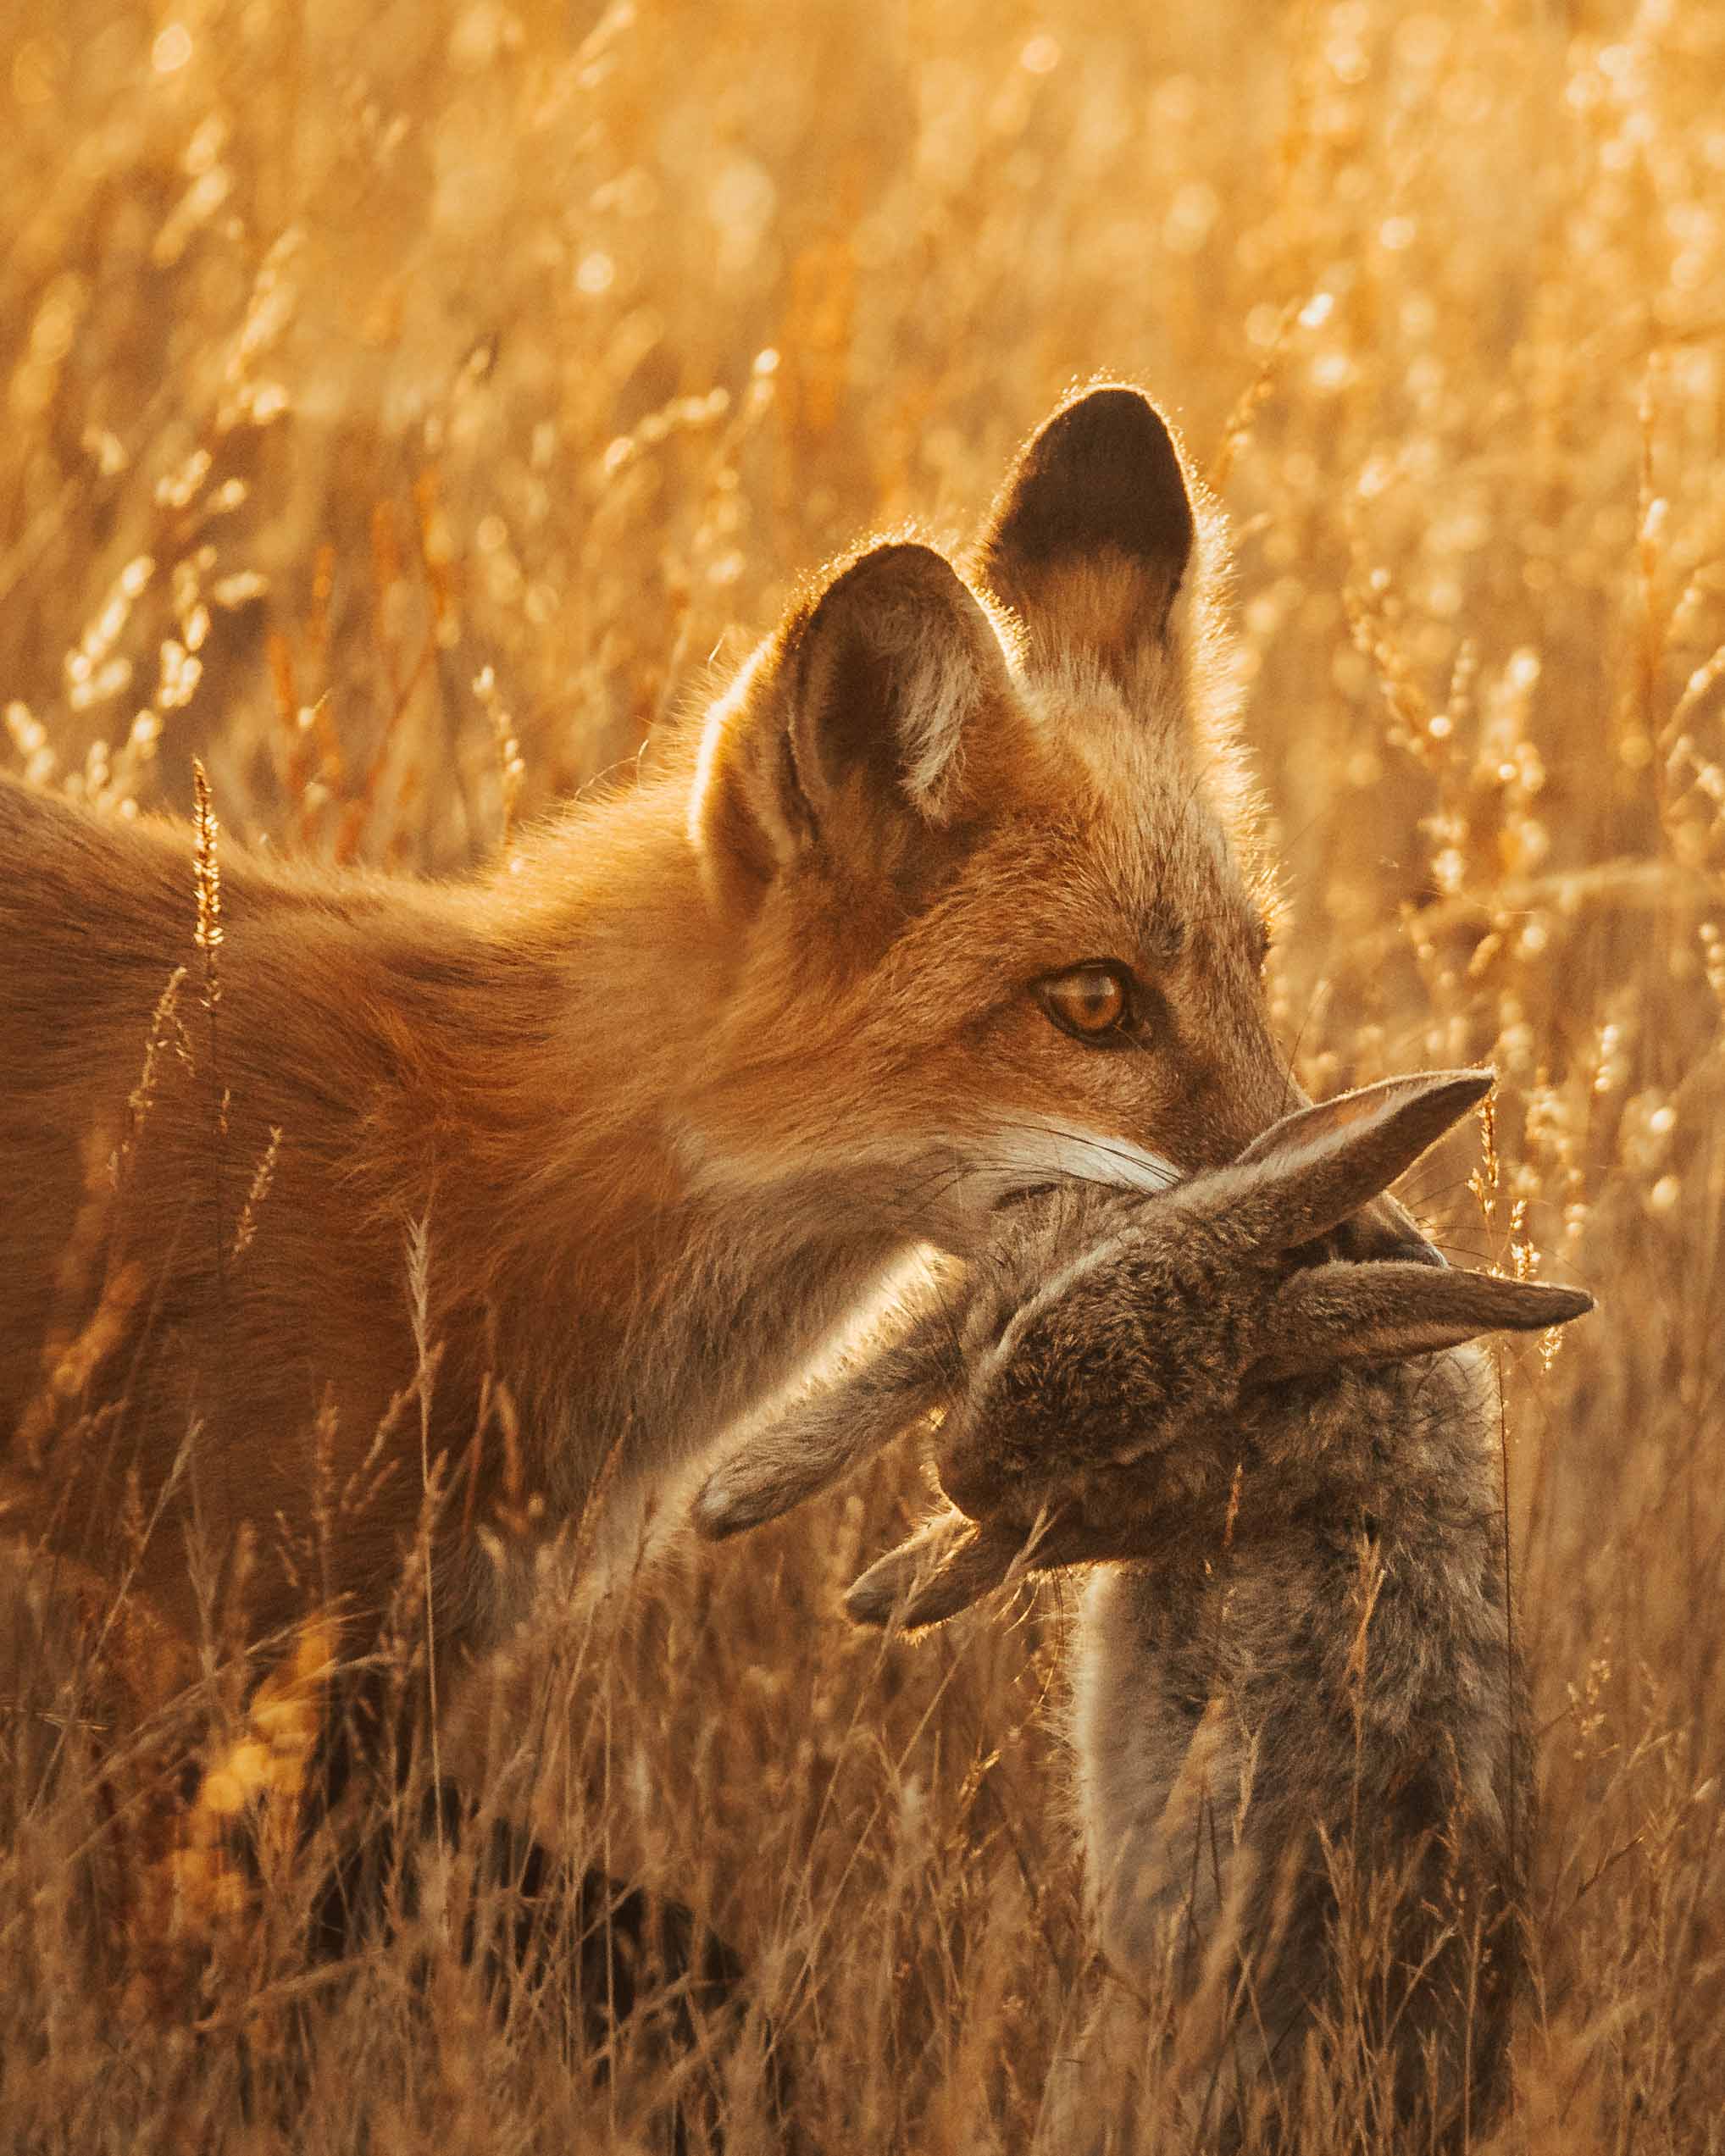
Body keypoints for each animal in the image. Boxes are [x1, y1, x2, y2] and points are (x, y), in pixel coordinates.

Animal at [696, 1069, 1594, 2146]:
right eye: (1012, 1325)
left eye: (1133, 1446)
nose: (955, 1471)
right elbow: (918, 1350)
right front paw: (747, 1495)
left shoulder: (1128, 1511)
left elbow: (1007, 1539)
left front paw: (878, 1591)